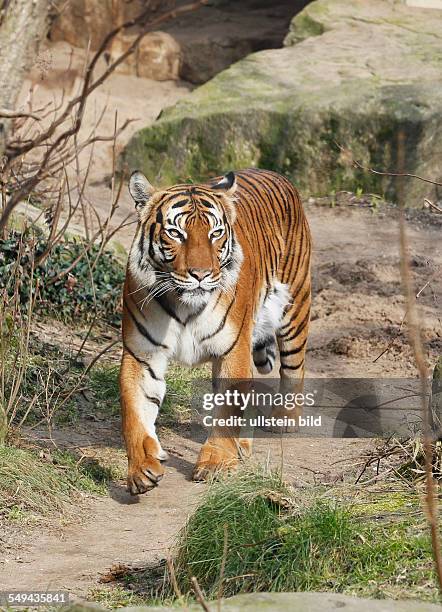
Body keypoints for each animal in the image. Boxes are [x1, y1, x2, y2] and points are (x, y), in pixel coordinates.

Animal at [119, 170, 312, 494]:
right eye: (176, 234)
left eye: (215, 233)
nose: (201, 274)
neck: (183, 305)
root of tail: (277, 174)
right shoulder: (142, 353)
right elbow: (134, 411)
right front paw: (141, 469)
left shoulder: (232, 349)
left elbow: (227, 410)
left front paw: (217, 463)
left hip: (294, 309)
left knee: (294, 367)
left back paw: (284, 418)